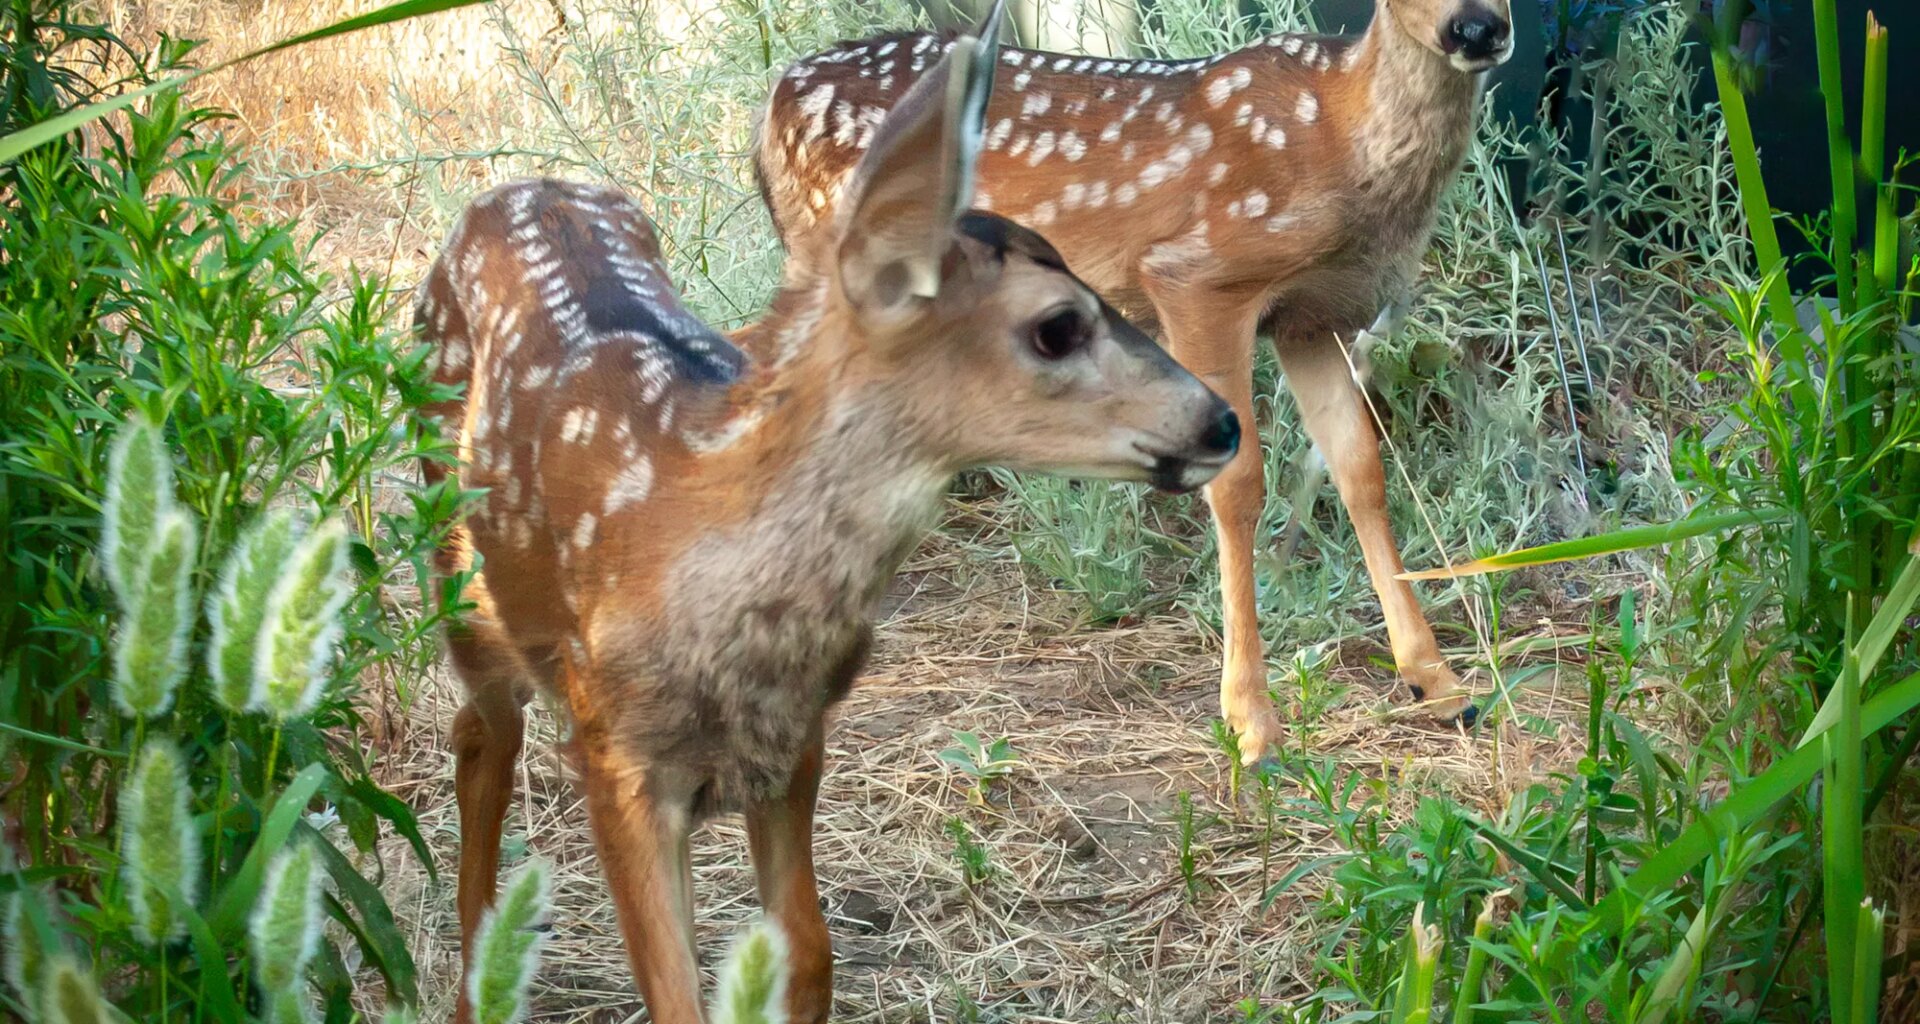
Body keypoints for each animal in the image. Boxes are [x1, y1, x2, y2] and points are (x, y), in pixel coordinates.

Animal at [411, 5, 1238, 1020]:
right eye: (1057, 327)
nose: (1221, 421)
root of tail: (518, 186)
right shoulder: (617, 752)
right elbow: (676, 991)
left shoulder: (794, 742)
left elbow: (806, 954)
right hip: (459, 571)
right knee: (480, 735)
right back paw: (472, 981)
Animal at [753, 0, 1514, 763]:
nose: (1477, 28)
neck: (1342, 134)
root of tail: (773, 103)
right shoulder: (1201, 275)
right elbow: (1238, 484)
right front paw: (1252, 723)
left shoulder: (1312, 318)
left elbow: (1358, 468)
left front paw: (1439, 683)